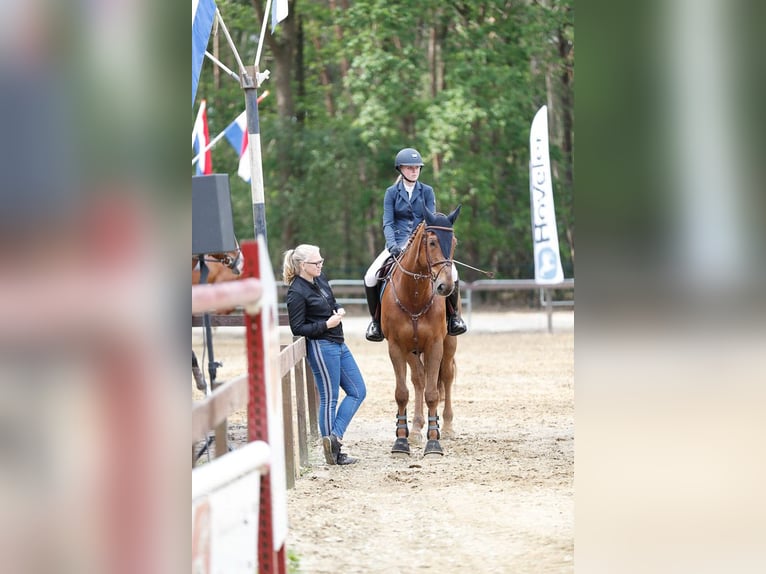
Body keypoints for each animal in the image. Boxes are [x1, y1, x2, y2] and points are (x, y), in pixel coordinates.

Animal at [380, 205, 461, 457]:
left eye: (454, 242)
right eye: (432, 242)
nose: (446, 286)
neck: (414, 294)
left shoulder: (435, 345)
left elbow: (433, 393)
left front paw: (434, 442)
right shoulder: (396, 347)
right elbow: (402, 392)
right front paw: (401, 440)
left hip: (449, 345)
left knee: (446, 376)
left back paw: (448, 427)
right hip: (412, 350)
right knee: (418, 379)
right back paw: (415, 429)